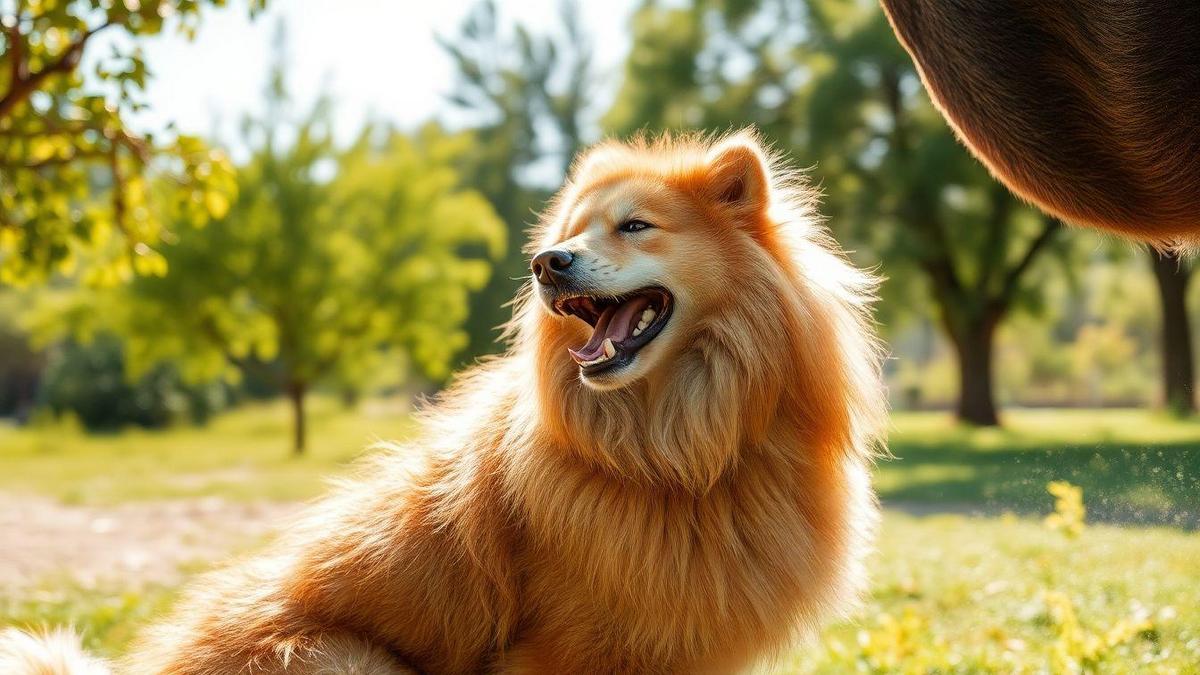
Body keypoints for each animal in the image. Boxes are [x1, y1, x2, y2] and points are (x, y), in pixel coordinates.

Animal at [0, 128, 883, 667]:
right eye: (571, 230)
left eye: (635, 226)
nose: (547, 262)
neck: (678, 454)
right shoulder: (562, 645)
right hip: (343, 656)